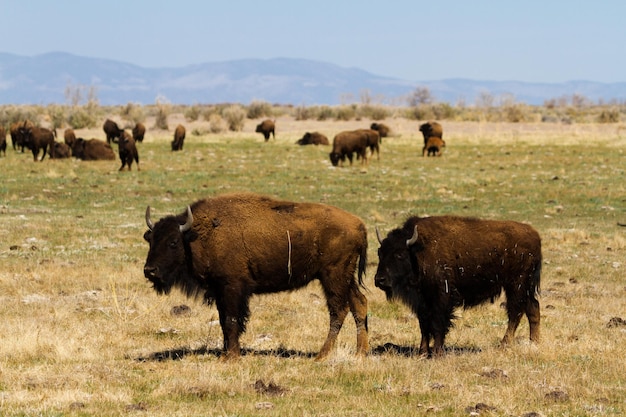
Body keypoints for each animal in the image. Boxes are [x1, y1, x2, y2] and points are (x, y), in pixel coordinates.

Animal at [143, 192, 368, 358]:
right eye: (150, 240)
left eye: (173, 242)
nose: (149, 270)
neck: (197, 235)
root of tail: (360, 225)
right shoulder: (219, 290)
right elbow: (224, 321)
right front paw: (227, 353)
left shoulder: (232, 288)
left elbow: (231, 320)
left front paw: (231, 356)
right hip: (346, 278)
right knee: (359, 304)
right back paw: (360, 353)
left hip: (333, 276)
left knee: (338, 310)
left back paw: (322, 355)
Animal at [372, 216, 540, 356]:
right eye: (380, 253)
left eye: (399, 254)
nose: (379, 280)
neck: (419, 250)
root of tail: (534, 234)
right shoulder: (422, 302)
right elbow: (424, 326)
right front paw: (422, 353)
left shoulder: (441, 298)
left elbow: (437, 324)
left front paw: (437, 353)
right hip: (525, 288)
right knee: (532, 308)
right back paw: (534, 343)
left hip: (516, 285)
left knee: (515, 313)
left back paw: (504, 344)